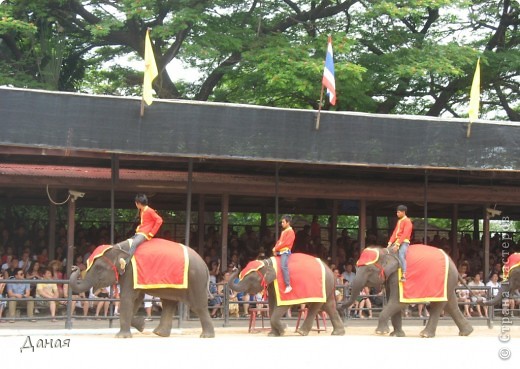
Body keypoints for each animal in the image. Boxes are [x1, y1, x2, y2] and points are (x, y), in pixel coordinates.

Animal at [69, 237, 215, 338]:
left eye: (99, 268)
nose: (74, 267)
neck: (118, 247)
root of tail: (205, 265)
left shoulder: (130, 272)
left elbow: (128, 298)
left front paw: (121, 337)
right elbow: (136, 299)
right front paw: (141, 325)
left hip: (195, 280)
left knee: (197, 306)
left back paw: (206, 336)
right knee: (168, 302)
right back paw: (159, 333)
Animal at [344, 244, 474, 336]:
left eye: (369, 270)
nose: (340, 308)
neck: (386, 251)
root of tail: (453, 263)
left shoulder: (399, 276)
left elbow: (397, 302)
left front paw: (381, 332)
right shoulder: (391, 278)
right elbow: (393, 301)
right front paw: (396, 335)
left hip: (445, 280)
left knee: (438, 305)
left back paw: (425, 335)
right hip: (448, 282)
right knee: (450, 304)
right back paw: (467, 332)